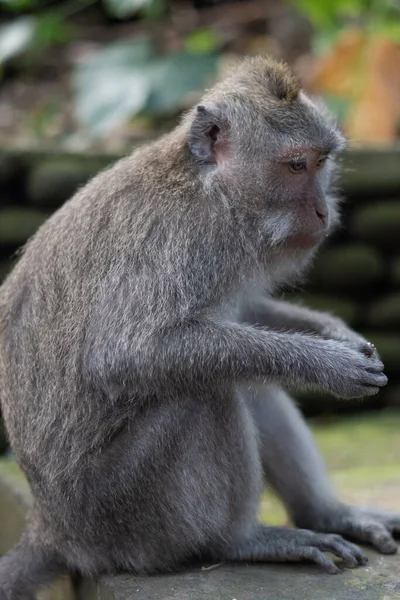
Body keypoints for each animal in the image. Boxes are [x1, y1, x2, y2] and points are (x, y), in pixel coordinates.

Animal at [0, 54, 396, 596]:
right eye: (296, 165)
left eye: (322, 163)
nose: (323, 211)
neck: (209, 190)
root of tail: (51, 530)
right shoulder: (180, 241)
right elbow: (128, 354)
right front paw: (328, 364)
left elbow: (238, 314)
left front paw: (339, 334)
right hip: (122, 515)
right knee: (203, 391)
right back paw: (244, 541)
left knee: (244, 378)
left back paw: (327, 514)